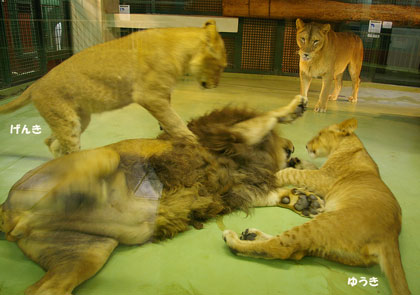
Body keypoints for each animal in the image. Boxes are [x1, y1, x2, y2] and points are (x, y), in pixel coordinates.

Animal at [0, 20, 226, 157]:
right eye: (221, 66)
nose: (216, 85)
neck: (181, 50)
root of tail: (35, 83)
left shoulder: (162, 95)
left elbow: (168, 120)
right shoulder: (150, 96)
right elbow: (175, 120)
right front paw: (193, 140)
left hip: (79, 118)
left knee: (52, 141)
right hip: (67, 120)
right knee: (65, 144)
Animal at [0, 96, 324, 294]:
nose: (292, 149)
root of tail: (7, 211)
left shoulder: (232, 188)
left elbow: (268, 193)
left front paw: (300, 200)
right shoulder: (227, 139)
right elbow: (264, 120)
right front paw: (293, 108)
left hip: (86, 253)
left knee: (44, 288)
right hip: (102, 158)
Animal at [223, 118, 410, 295]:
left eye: (320, 134)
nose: (305, 146)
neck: (353, 145)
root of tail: (391, 236)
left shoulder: (323, 178)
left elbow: (291, 173)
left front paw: (272, 174)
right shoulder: (320, 173)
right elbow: (310, 166)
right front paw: (297, 161)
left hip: (324, 224)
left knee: (279, 248)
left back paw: (233, 239)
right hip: (330, 247)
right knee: (296, 252)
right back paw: (251, 235)